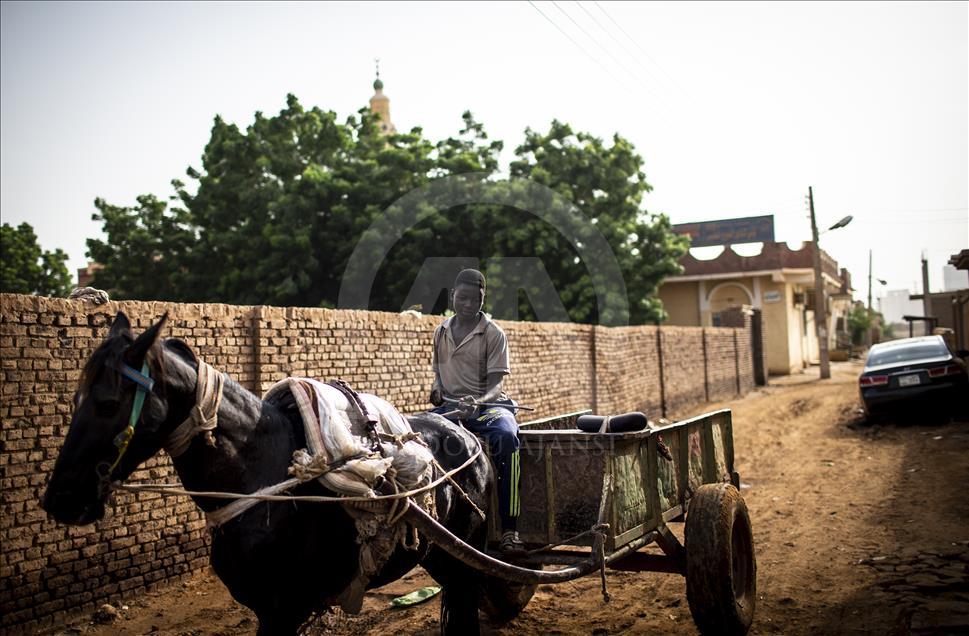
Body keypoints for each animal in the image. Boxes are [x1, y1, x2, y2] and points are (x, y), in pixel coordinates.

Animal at [39, 310, 528, 632]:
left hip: (462, 559)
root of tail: (466, 431)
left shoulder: (284, 609)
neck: (259, 478)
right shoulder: (269, 609)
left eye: (107, 403)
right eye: (75, 400)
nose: (60, 498)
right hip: (441, 557)